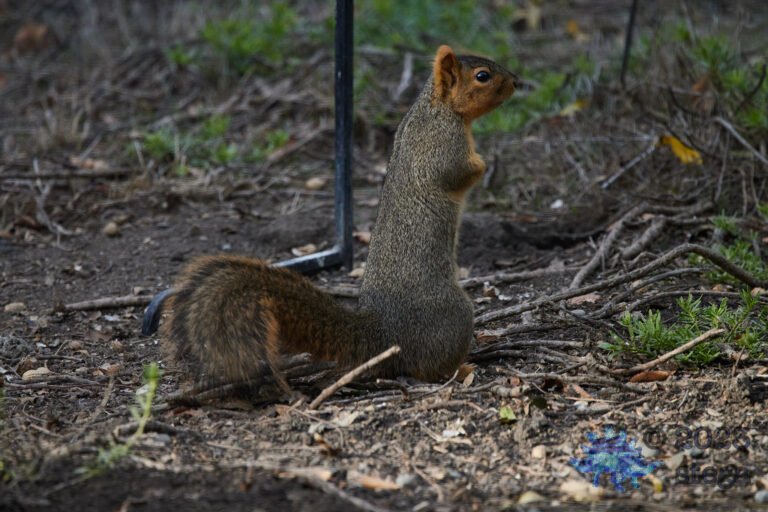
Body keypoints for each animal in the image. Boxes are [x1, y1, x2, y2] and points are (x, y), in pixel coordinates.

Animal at [146, 45, 517, 393]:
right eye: (482, 76)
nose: (517, 82)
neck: (437, 109)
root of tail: (383, 336)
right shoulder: (441, 147)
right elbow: (458, 173)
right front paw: (483, 163)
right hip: (454, 314)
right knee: (426, 367)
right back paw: (463, 368)